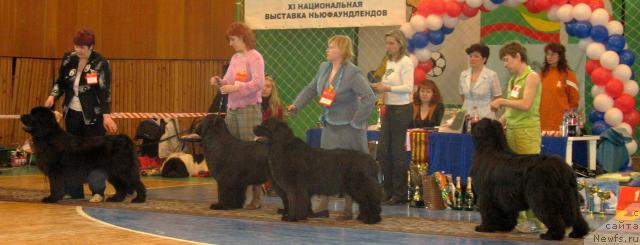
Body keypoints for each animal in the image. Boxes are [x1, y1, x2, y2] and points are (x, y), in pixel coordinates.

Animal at [252, 118, 380, 224]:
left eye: (266, 125)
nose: (254, 127)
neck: (282, 146)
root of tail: (371, 160)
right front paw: (300, 216)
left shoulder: (294, 187)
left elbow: (293, 201)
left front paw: (291, 217)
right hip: (355, 188)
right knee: (365, 202)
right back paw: (363, 218)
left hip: (360, 186)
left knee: (371, 200)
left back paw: (372, 219)